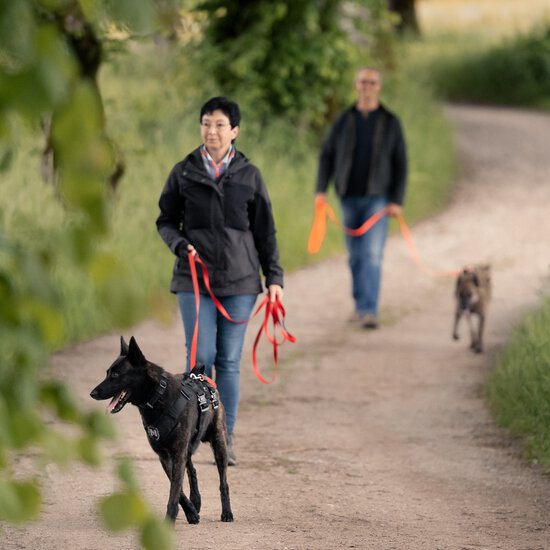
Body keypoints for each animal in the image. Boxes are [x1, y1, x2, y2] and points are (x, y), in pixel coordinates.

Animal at [90, 336, 233, 528]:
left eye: (115, 375)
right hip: (188, 449)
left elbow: (174, 492)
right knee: (192, 472)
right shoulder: (165, 456)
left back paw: (227, 512)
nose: (92, 393)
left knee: (223, 482)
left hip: (219, 445)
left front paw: (171, 518)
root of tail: (200, 378)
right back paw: (196, 502)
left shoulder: (177, 454)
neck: (157, 397)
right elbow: (178, 489)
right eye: (107, 373)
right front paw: (191, 512)